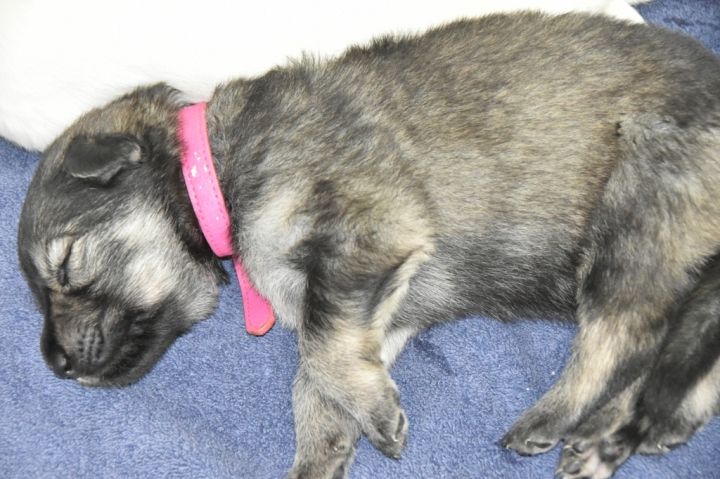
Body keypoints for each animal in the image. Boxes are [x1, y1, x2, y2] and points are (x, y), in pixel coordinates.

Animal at [17, 13, 720, 478]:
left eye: (67, 265)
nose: (57, 364)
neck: (211, 167)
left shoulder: (367, 231)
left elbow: (319, 347)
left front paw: (375, 417)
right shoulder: (376, 299)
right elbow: (319, 374)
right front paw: (324, 451)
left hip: (638, 208)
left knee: (620, 335)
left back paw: (553, 419)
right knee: (663, 352)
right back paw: (612, 437)